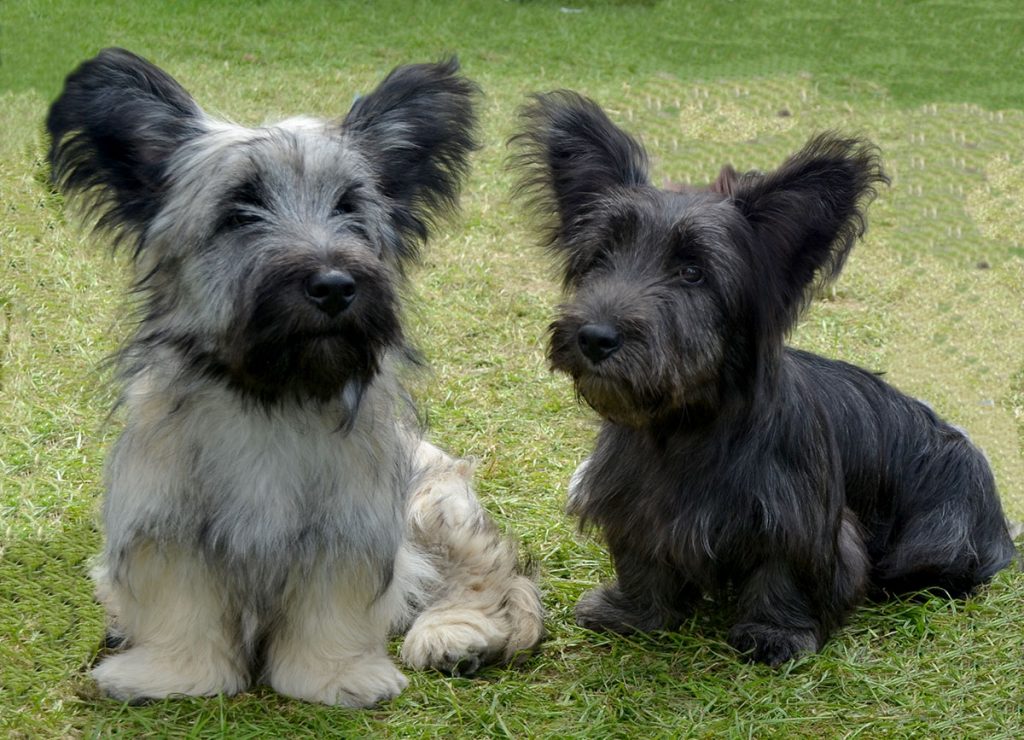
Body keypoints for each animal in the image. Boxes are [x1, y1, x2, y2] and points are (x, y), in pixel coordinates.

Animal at [46, 47, 544, 708]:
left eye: (349, 207)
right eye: (239, 212)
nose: (334, 285)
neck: (273, 397)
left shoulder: (350, 528)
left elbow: (332, 607)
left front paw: (333, 675)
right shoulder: (166, 522)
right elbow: (182, 605)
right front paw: (176, 675)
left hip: (432, 509)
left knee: (487, 577)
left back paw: (455, 633)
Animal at [512, 91, 1015, 667]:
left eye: (693, 273)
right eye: (601, 258)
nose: (595, 337)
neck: (685, 427)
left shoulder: (803, 524)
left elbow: (785, 573)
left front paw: (774, 633)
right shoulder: (631, 501)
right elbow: (641, 558)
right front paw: (633, 613)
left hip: (937, 535)